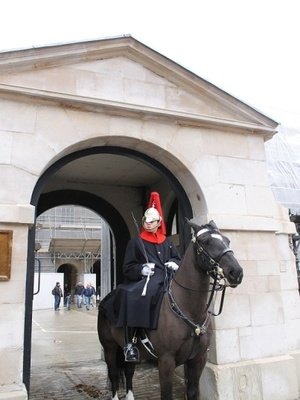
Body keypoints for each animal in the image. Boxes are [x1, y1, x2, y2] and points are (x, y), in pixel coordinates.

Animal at [98, 220, 244, 398]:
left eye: (227, 240)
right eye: (206, 242)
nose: (236, 272)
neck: (190, 310)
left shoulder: (198, 359)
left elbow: (193, 392)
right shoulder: (166, 361)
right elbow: (166, 394)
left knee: (129, 370)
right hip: (109, 347)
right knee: (113, 373)